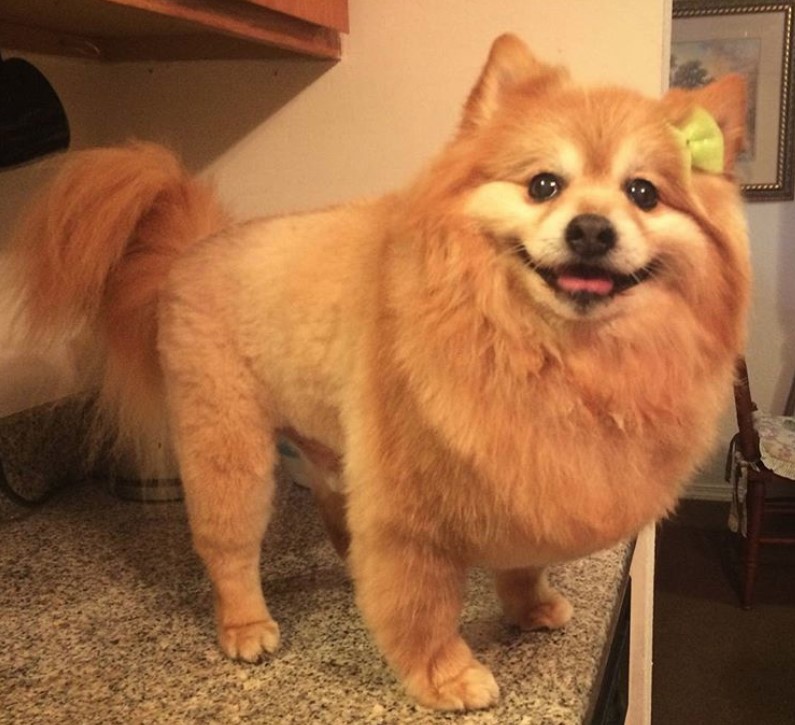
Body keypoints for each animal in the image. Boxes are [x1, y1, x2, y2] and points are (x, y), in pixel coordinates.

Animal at [9, 36, 748, 708]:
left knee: (335, 508)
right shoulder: (410, 510)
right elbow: (422, 605)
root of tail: (192, 249)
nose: (591, 229)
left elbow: (520, 559)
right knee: (228, 547)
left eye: (643, 193)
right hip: (229, 449)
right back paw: (245, 623)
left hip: (328, 442)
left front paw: (529, 604)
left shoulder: (519, 472)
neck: (545, 350)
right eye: (544, 185)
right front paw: (444, 675)